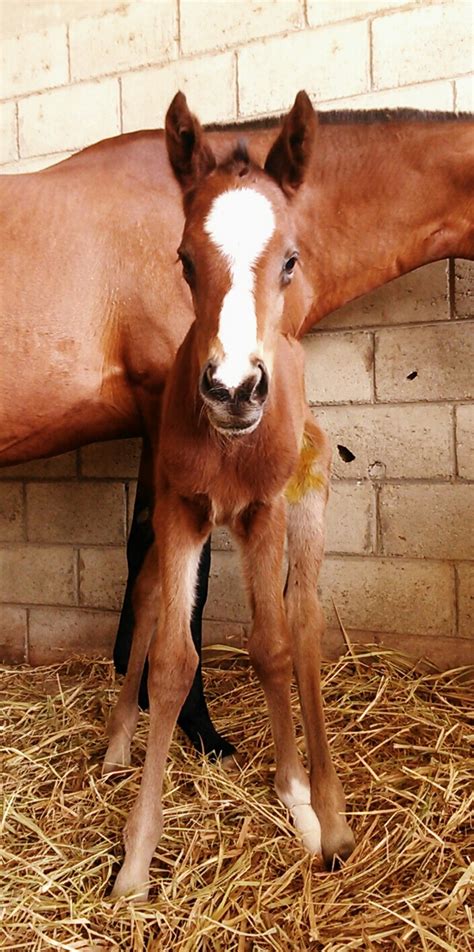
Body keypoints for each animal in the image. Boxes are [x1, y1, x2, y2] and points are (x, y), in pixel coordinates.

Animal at [108, 93, 356, 904]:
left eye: (291, 259)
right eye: (185, 259)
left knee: (302, 616)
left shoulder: (262, 512)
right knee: (148, 595)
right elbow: (170, 659)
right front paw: (135, 858)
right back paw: (116, 744)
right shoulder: (182, 509)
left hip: (302, 508)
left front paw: (298, 805)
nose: (234, 389)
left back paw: (328, 809)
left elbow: (272, 645)